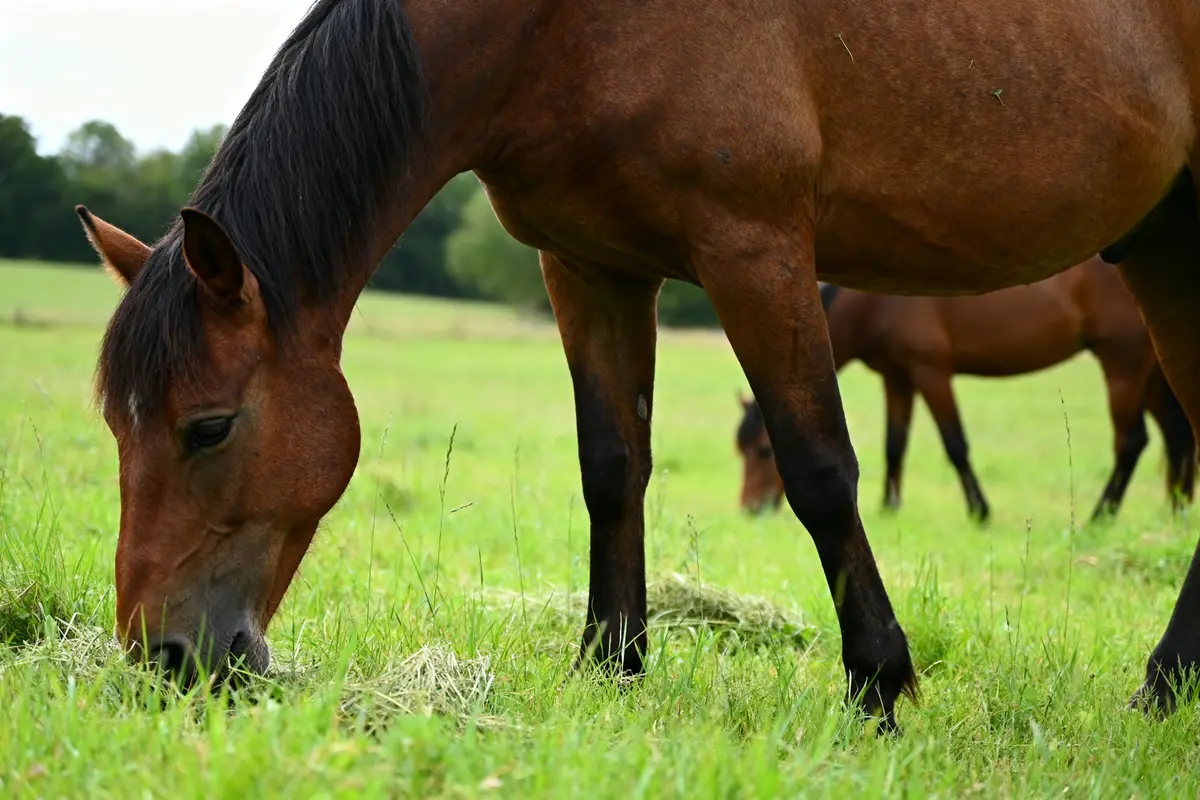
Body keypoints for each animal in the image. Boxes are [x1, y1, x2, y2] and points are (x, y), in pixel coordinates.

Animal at [736, 258, 1198, 522]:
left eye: (763, 451)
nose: (750, 509)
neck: (873, 304)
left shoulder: (931, 374)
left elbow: (955, 444)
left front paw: (979, 510)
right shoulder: (897, 379)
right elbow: (894, 446)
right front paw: (889, 507)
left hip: (1123, 364)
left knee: (1132, 441)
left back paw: (1103, 514)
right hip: (1151, 371)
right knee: (1177, 436)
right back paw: (1177, 509)